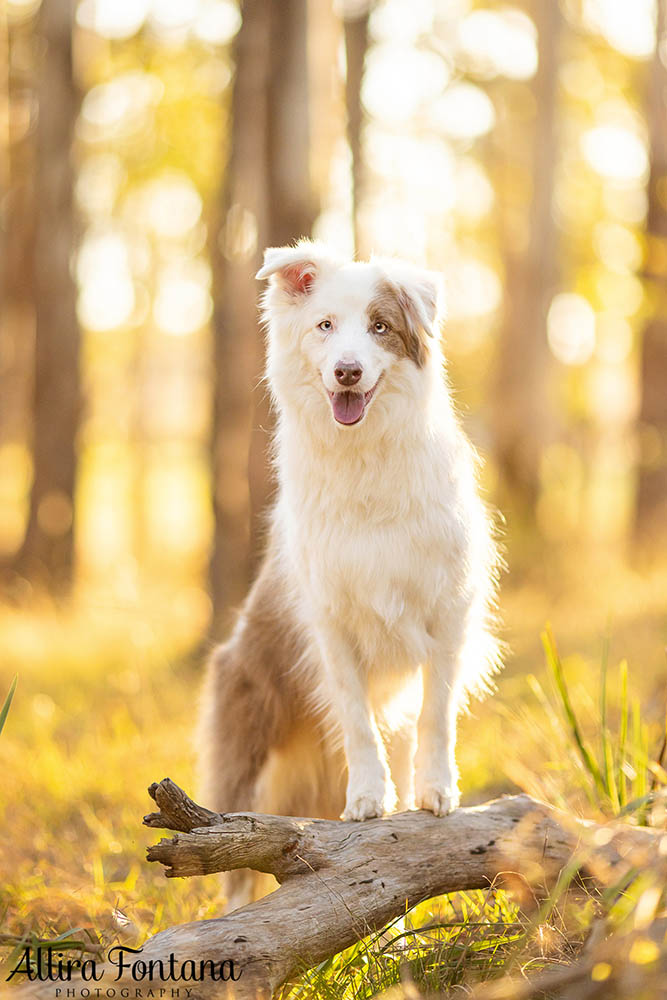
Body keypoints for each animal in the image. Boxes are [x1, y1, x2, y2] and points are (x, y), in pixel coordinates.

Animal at [198, 240, 500, 908]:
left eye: (380, 328)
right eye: (325, 327)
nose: (347, 372)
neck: (364, 459)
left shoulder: (449, 612)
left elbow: (436, 716)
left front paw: (436, 790)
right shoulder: (332, 623)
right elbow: (359, 723)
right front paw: (367, 795)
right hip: (244, 757)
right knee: (233, 866)